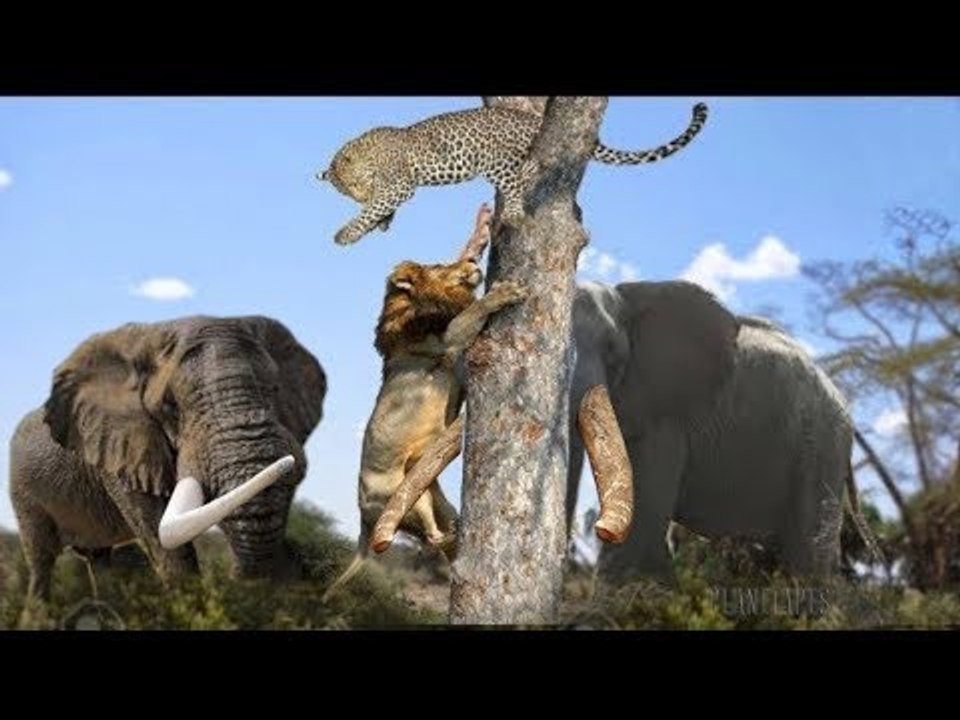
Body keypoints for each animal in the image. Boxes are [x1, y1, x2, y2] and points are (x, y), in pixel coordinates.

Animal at [9, 315, 326, 602]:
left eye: (274, 390)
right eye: (169, 406)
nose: (235, 576)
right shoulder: (120, 450)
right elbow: (163, 536)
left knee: (98, 561)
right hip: (23, 493)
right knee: (41, 559)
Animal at [318, 101, 709, 246]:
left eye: (353, 185)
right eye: (345, 192)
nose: (358, 195)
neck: (369, 150)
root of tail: (531, 119)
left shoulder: (397, 183)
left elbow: (375, 206)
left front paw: (347, 231)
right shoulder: (396, 188)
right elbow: (379, 210)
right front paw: (379, 224)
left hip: (496, 161)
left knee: (520, 180)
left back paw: (517, 212)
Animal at [323, 205, 527, 599]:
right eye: (437, 265)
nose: (470, 262)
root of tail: (362, 517)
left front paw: (481, 228)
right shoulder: (448, 341)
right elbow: (473, 311)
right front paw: (503, 292)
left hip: (433, 495)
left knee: (440, 537)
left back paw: (459, 534)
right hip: (404, 498)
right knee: (430, 539)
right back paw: (449, 536)